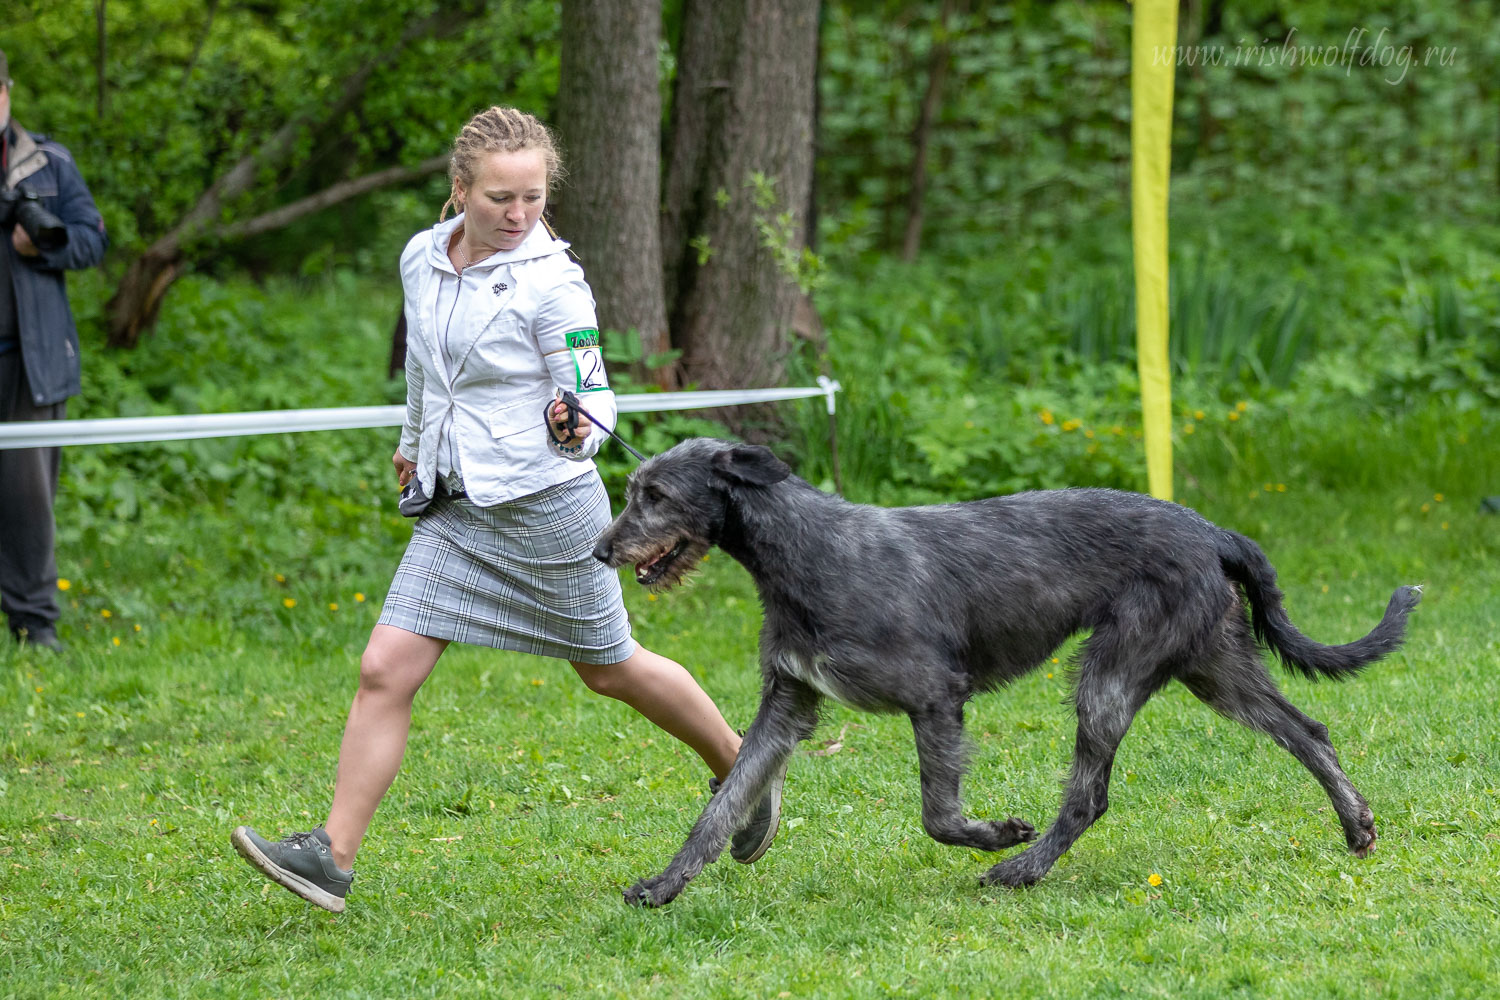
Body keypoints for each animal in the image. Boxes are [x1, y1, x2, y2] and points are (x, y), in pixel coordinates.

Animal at [588, 437, 1416, 905]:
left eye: (654, 494)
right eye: (633, 491)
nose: (599, 550)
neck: (805, 550)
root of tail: (1212, 529)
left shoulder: (935, 695)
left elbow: (937, 814)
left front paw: (997, 835)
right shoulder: (788, 704)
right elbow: (722, 805)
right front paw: (665, 884)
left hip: (1111, 675)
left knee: (1089, 797)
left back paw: (1023, 869)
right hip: (1212, 665)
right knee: (1308, 730)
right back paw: (1358, 826)